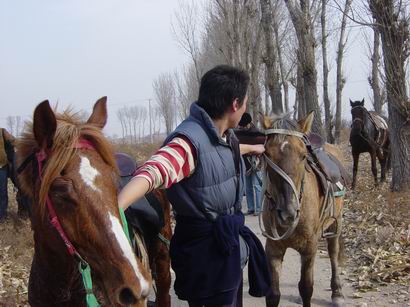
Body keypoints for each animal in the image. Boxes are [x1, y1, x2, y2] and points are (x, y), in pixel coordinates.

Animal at [262, 113, 348, 307]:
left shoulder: (309, 247)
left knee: (333, 253)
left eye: (303, 156)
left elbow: (306, 288)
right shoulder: (273, 248)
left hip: (336, 223)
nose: (288, 212)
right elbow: (273, 294)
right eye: (267, 154)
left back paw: (338, 292)